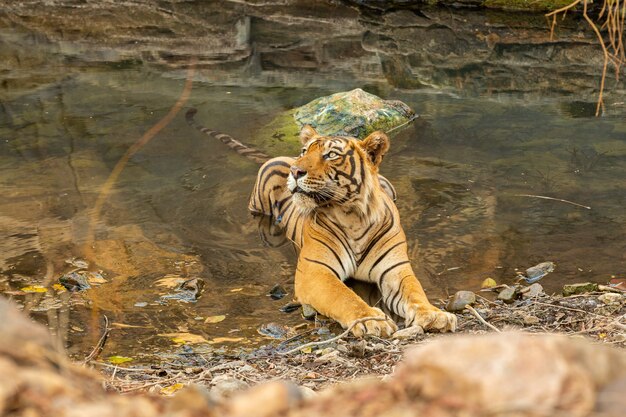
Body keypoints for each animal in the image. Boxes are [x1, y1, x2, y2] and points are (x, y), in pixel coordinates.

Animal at [185, 107, 454, 334]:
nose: (295, 171)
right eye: (305, 152)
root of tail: (281, 156)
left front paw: (435, 315)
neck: (353, 216)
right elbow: (344, 296)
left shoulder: (395, 269)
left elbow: (415, 292)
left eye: (331, 155)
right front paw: (371, 320)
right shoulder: (316, 271)